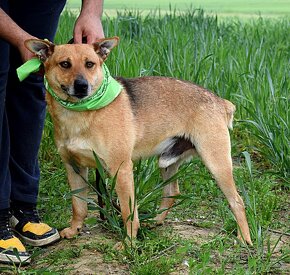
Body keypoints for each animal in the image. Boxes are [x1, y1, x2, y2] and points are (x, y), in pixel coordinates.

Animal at [24, 36, 251, 246]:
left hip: (217, 164)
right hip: (167, 162)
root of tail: (220, 102)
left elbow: (128, 212)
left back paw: (245, 239)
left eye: (90, 64)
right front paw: (74, 230)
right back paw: (156, 221)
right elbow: (78, 205)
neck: (81, 113)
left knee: (237, 201)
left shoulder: (121, 169)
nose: (82, 86)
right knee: (171, 193)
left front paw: (129, 243)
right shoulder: (74, 167)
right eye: (64, 64)